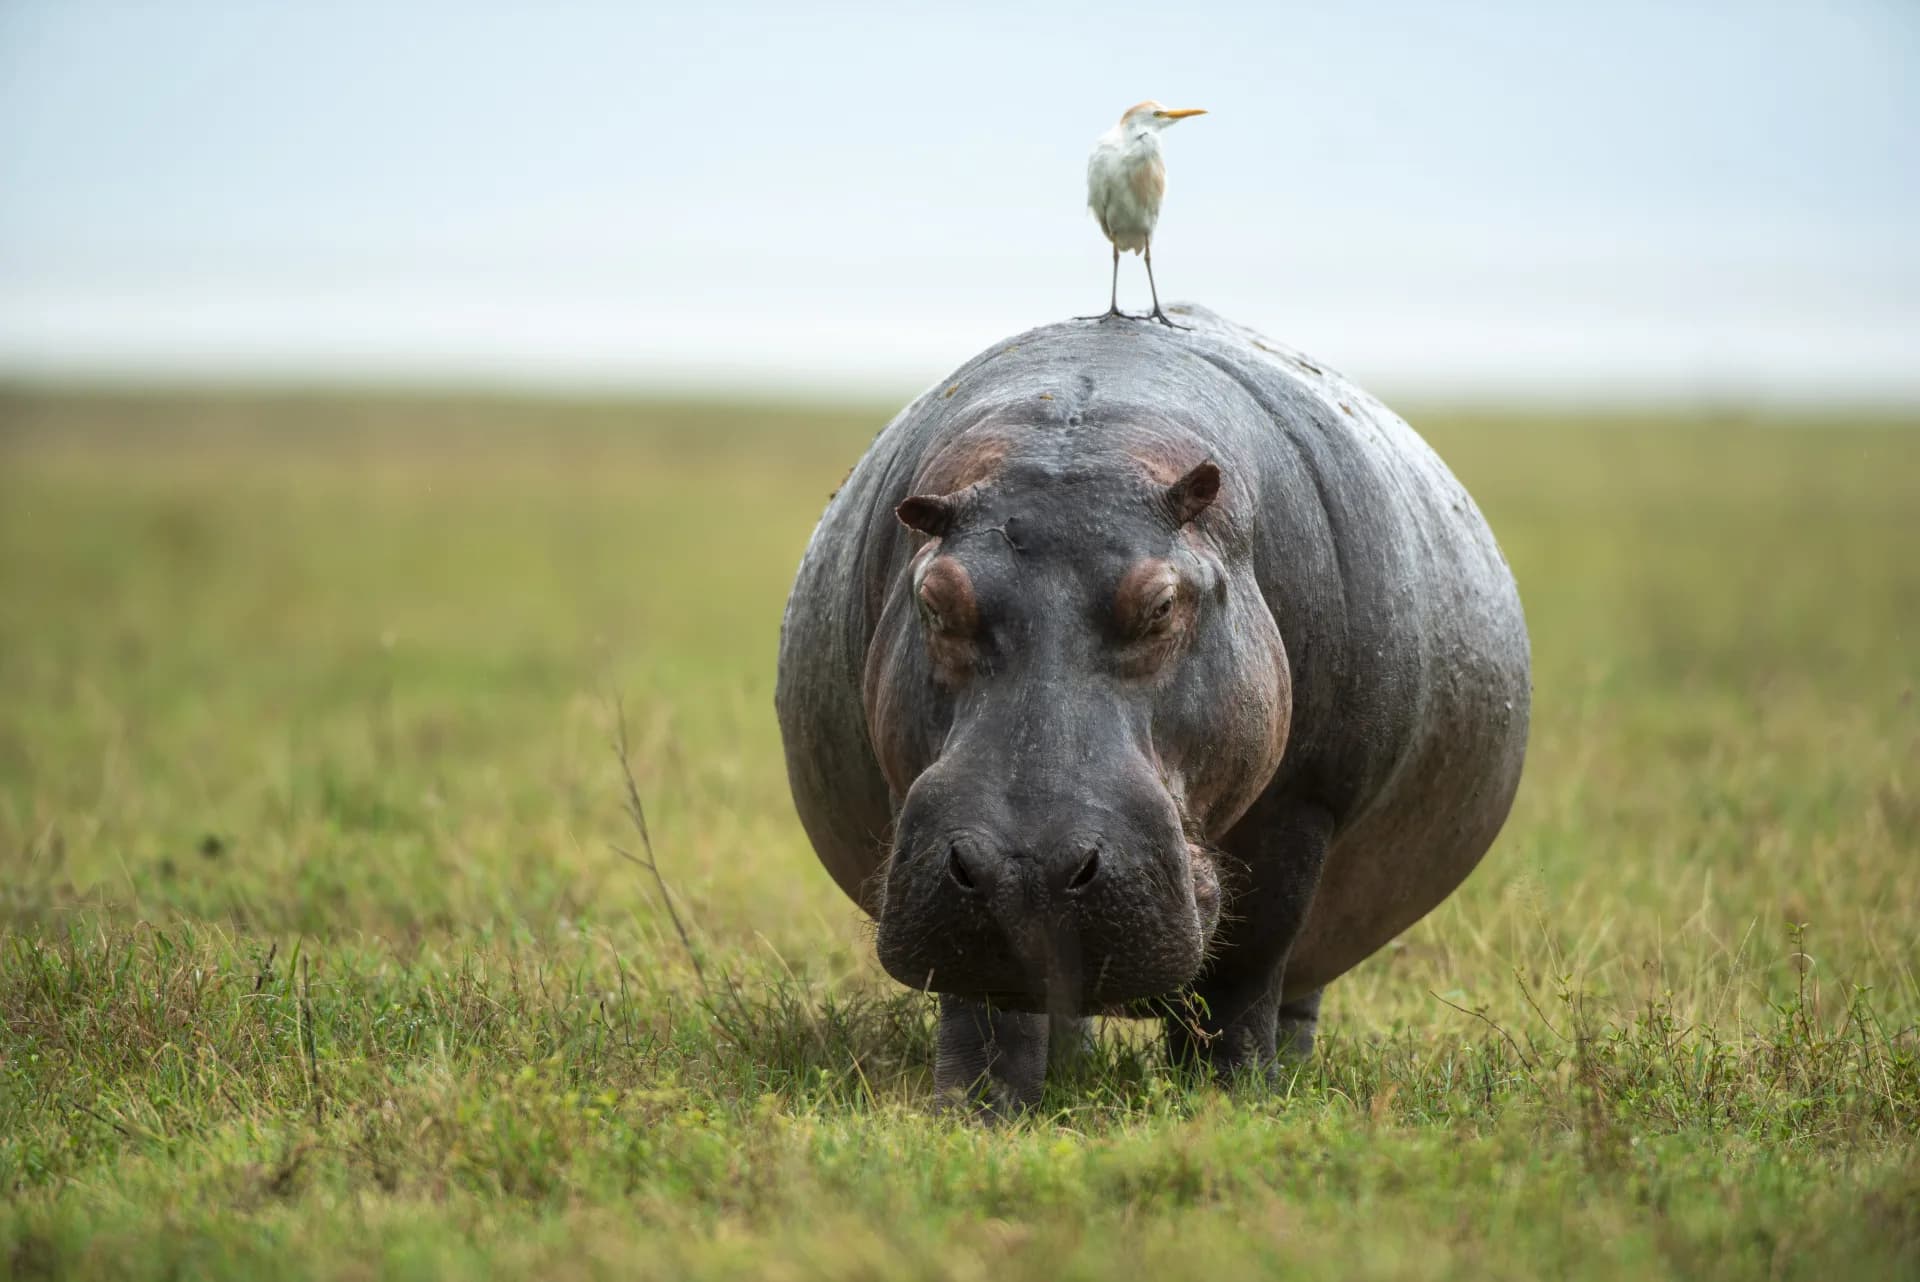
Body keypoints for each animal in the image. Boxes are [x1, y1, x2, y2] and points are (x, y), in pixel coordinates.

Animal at [774, 306, 1529, 1110]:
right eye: (936, 597)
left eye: (1163, 603)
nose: (1026, 872)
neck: (1095, 430)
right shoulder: (924, 819)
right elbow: (984, 1001)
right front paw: (976, 1110)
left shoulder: (1301, 808)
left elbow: (1243, 977)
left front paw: (1234, 1103)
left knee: (1289, 993)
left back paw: (1286, 1075)